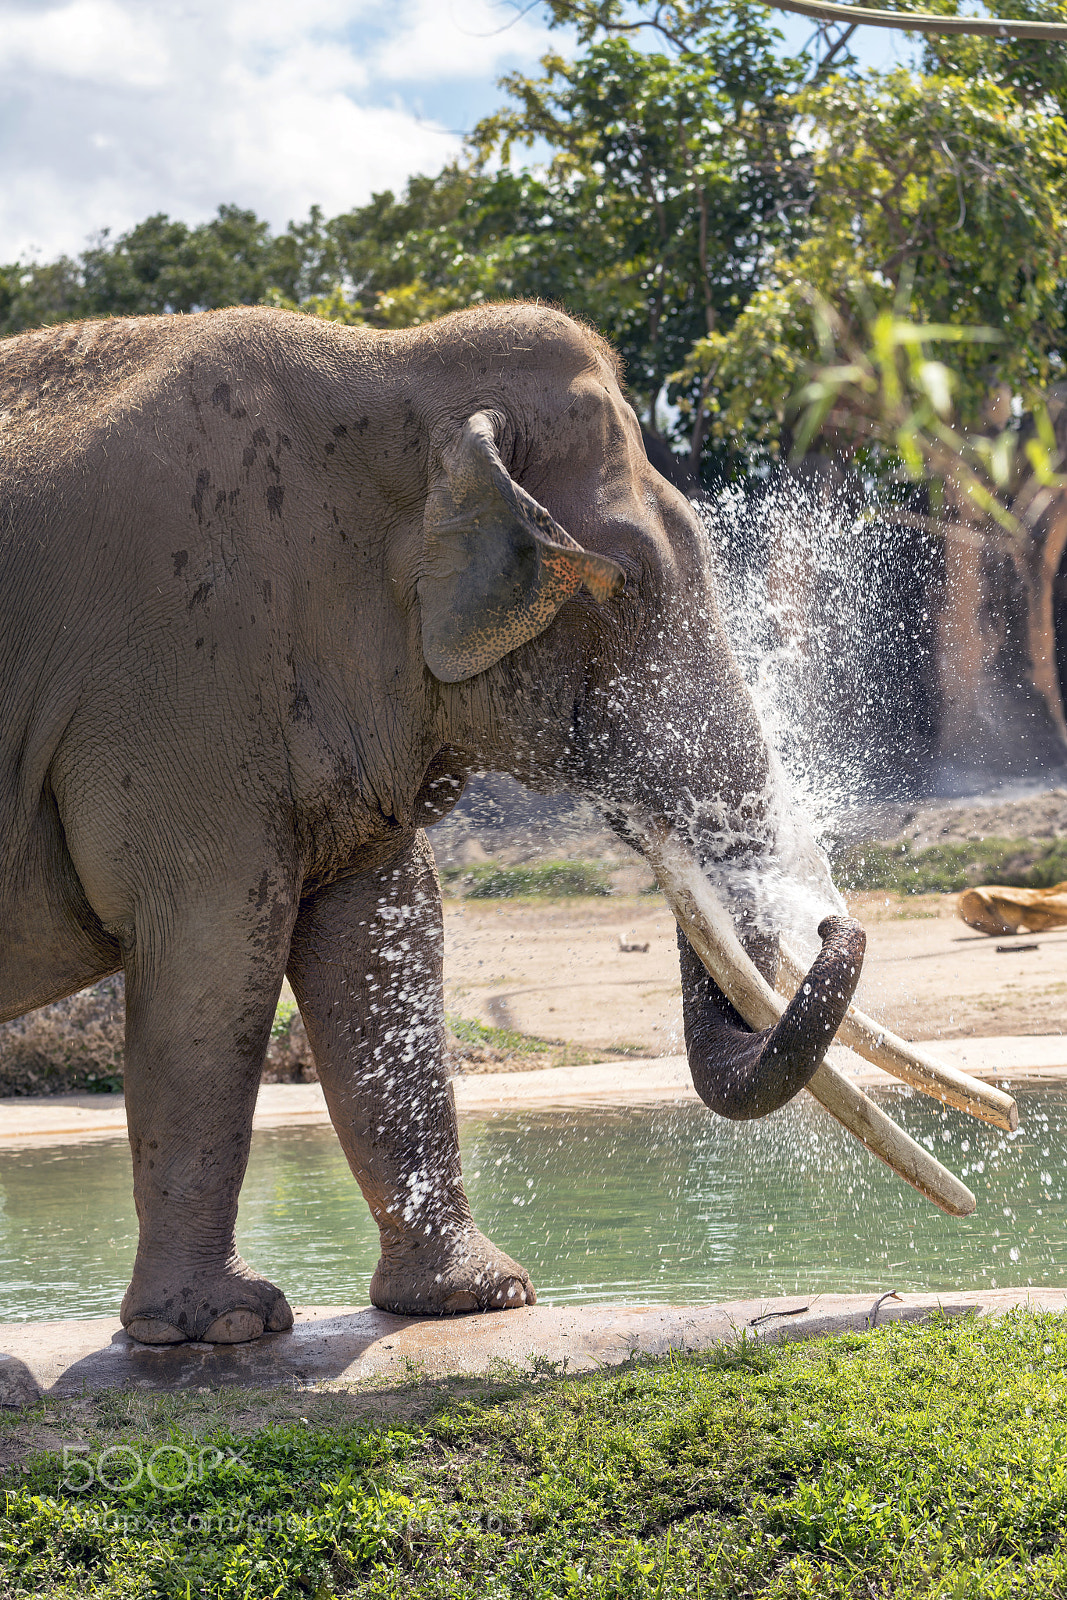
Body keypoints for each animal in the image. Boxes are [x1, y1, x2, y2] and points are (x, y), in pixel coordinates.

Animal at [0, 302, 871, 1345]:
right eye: (622, 581)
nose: (832, 923)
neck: (391, 365)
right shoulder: (179, 676)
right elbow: (214, 945)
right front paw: (224, 1326)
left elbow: (380, 933)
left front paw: (475, 1299)